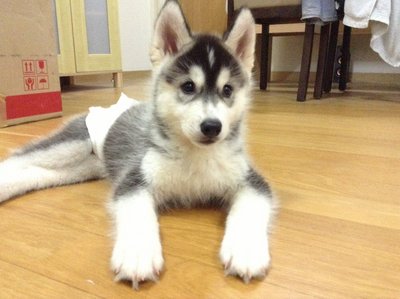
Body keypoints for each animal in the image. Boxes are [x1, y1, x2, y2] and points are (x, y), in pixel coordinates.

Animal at [0, 0, 276, 290]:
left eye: (227, 90)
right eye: (188, 86)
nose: (212, 126)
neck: (195, 155)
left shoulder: (252, 182)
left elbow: (251, 207)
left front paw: (246, 251)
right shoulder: (134, 178)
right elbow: (137, 212)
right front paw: (137, 254)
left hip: (84, 168)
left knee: (37, 173)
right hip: (71, 145)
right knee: (21, 159)